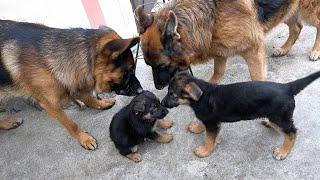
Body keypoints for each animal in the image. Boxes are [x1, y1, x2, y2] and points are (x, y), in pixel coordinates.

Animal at [0, 19, 142, 149]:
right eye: (129, 71)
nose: (141, 91)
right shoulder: (50, 105)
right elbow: (70, 124)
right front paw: (84, 138)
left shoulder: (74, 84)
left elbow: (87, 97)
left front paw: (101, 103)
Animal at [136, 0, 320, 89]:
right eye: (149, 65)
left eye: (162, 66)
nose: (158, 87)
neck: (211, 16)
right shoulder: (219, 49)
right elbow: (218, 71)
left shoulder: (252, 50)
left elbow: (257, 77)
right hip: (286, 11)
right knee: (297, 28)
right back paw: (284, 49)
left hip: (308, 9)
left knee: (317, 25)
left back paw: (316, 51)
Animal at [161, 71, 320, 160]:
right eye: (168, 92)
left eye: (172, 95)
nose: (162, 104)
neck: (201, 96)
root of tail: (287, 87)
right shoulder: (210, 121)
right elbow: (205, 128)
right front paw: (198, 128)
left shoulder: (212, 123)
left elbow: (208, 138)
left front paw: (205, 150)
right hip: (277, 116)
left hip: (280, 117)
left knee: (292, 132)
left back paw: (283, 151)